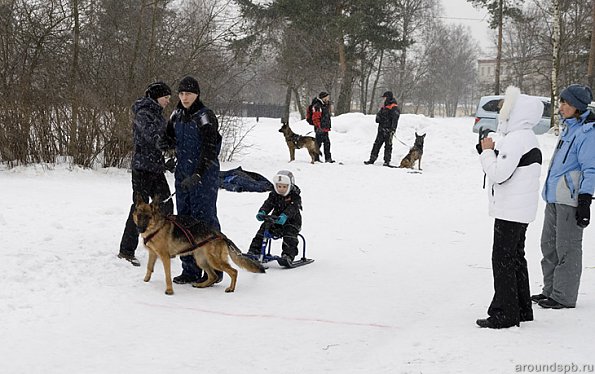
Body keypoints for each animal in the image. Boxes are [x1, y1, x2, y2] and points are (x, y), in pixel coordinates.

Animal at [135, 196, 268, 296]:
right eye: (139, 215)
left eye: (148, 217)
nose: (140, 229)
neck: (156, 227)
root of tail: (221, 235)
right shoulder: (152, 254)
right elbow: (149, 267)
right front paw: (146, 280)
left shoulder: (165, 257)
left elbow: (167, 275)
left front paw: (169, 290)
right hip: (201, 260)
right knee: (213, 276)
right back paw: (201, 285)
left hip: (214, 261)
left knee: (233, 271)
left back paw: (231, 288)